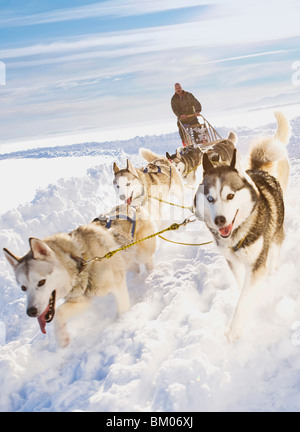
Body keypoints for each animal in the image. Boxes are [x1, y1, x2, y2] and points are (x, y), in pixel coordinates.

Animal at [2, 216, 157, 348]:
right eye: (23, 288)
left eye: (41, 282)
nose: (31, 312)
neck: (79, 261)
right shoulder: (82, 299)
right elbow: (59, 313)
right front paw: (62, 337)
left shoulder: (117, 286)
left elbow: (122, 310)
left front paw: (122, 323)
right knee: (134, 267)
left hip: (142, 253)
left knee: (147, 262)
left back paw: (151, 275)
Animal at [193, 111, 290, 340]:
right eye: (210, 199)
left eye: (230, 195)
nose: (220, 220)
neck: (238, 234)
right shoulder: (233, 261)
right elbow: (240, 285)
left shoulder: (256, 266)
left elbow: (245, 298)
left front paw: (235, 329)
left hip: (276, 234)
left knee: (275, 252)